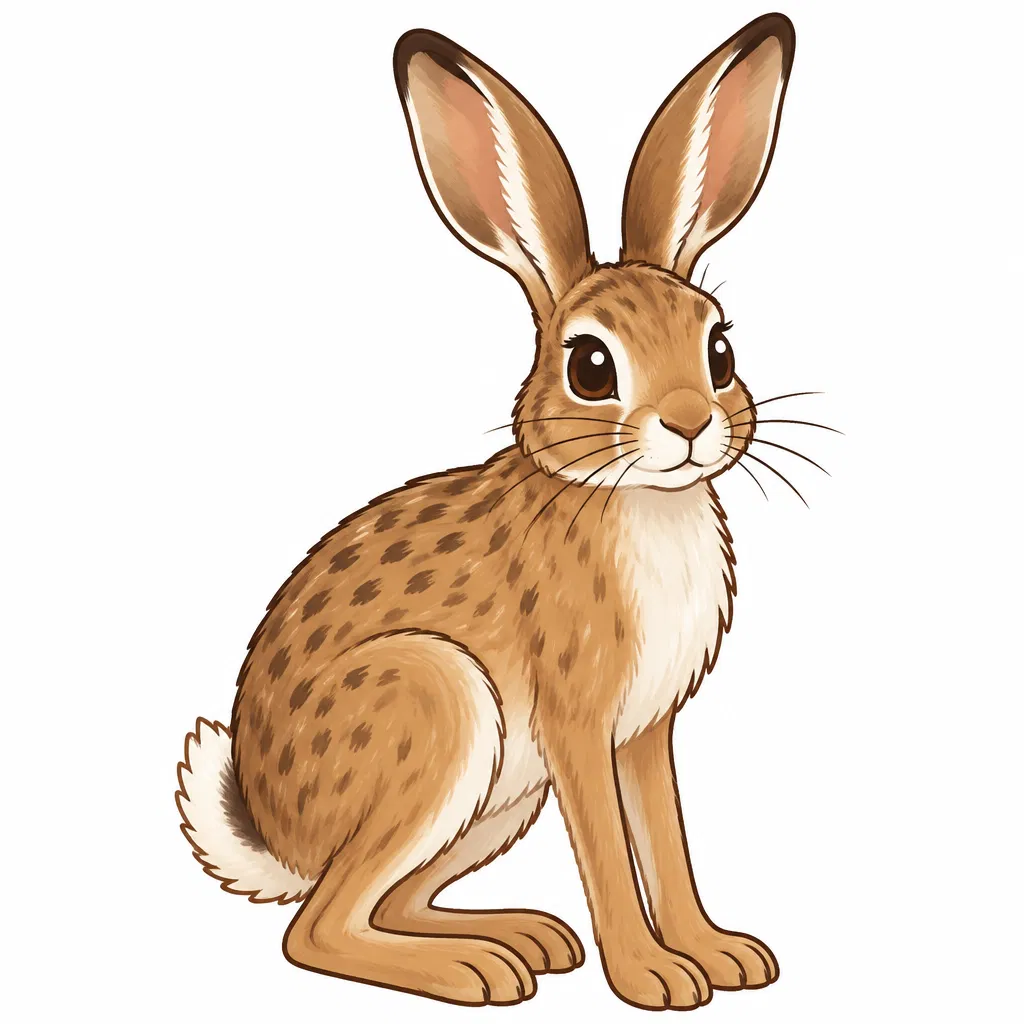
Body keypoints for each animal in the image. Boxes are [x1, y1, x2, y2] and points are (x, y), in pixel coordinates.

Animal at [176, 12, 796, 1010]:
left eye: (721, 349)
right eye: (591, 366)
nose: (691, 424)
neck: (631, 498)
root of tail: (276, 836)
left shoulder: (645, 732)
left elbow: (665, 842)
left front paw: (721, 954)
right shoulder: (577, 722)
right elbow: (611, 856)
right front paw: (651, 978)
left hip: (497, 797)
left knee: (383, 903)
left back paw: (520, 939)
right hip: (437, 711)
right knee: (317, 928)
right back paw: (475, 972)